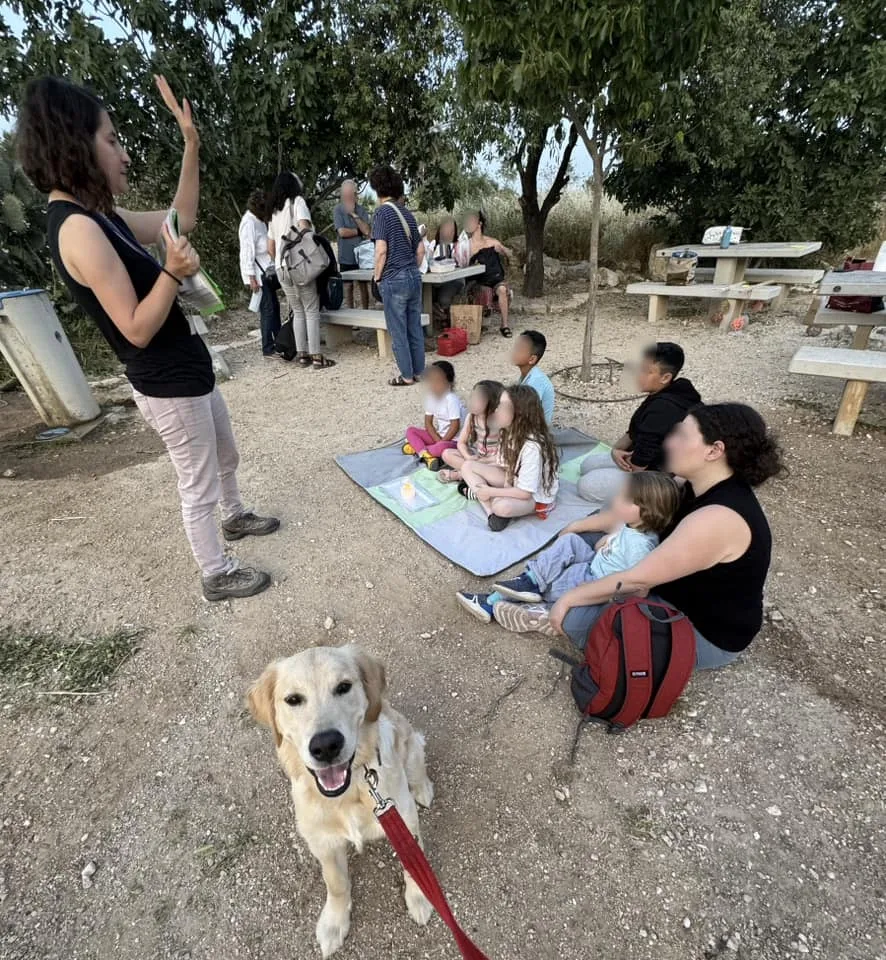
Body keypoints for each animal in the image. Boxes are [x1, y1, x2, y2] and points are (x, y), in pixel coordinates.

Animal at [248, 648, 436, 956]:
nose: (326, 745)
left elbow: (413, 863)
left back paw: (423, 789)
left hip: (410, 747)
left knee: (418, 763)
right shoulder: (322, 842)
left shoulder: (404, 819)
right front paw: (334, 924)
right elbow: (336, 884)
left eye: (343, 687)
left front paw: (419, 898)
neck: (349, 795)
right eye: (293, 699)